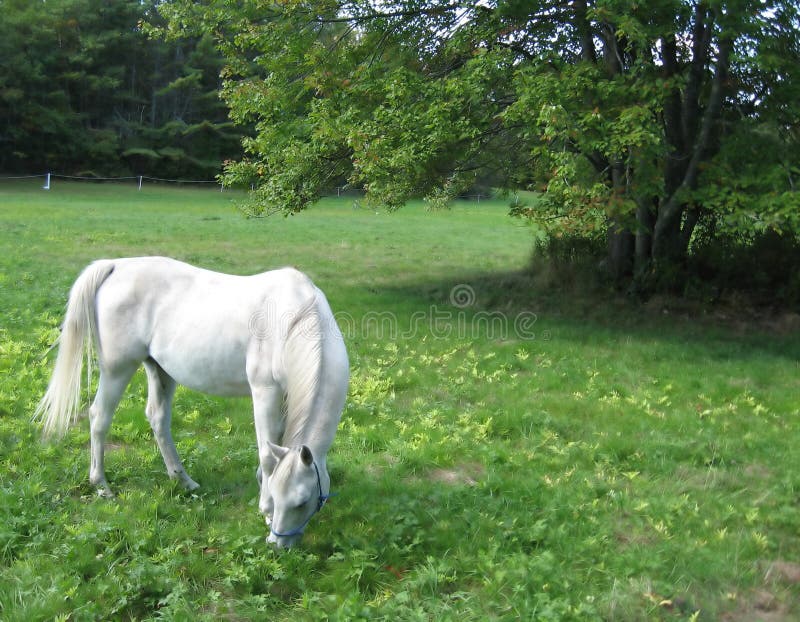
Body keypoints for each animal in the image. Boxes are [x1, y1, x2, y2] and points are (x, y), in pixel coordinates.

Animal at [35, 256, 346, 548]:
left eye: (301, 502)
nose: (277, 543)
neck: (295, 317)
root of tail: (115, 266)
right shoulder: (265, 391)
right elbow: (267, 454)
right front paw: (265, 505)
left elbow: (274, 444)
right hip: (117, 369)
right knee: (100, 417)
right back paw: (102, 485)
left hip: (160, 369)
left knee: (158, 418)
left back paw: (183, 480)